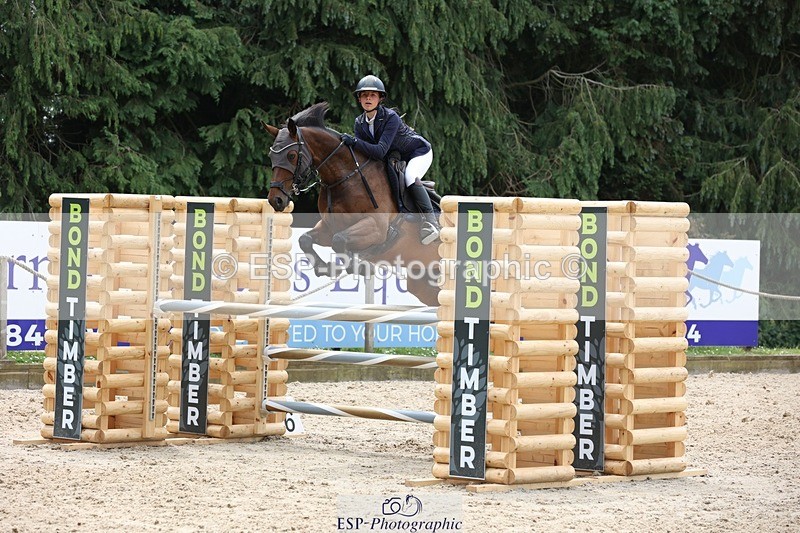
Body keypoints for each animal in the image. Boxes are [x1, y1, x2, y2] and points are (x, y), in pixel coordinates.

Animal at [263, 102, 441, 306]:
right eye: (271, 156)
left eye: (291, 155)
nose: (275, 200)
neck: (346, 178)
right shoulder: (330, 227)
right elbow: (306, 239)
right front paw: (327, 268)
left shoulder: (377, 229)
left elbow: (339, 241)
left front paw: (358, 267)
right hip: (423, 284)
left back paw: (430, 228)